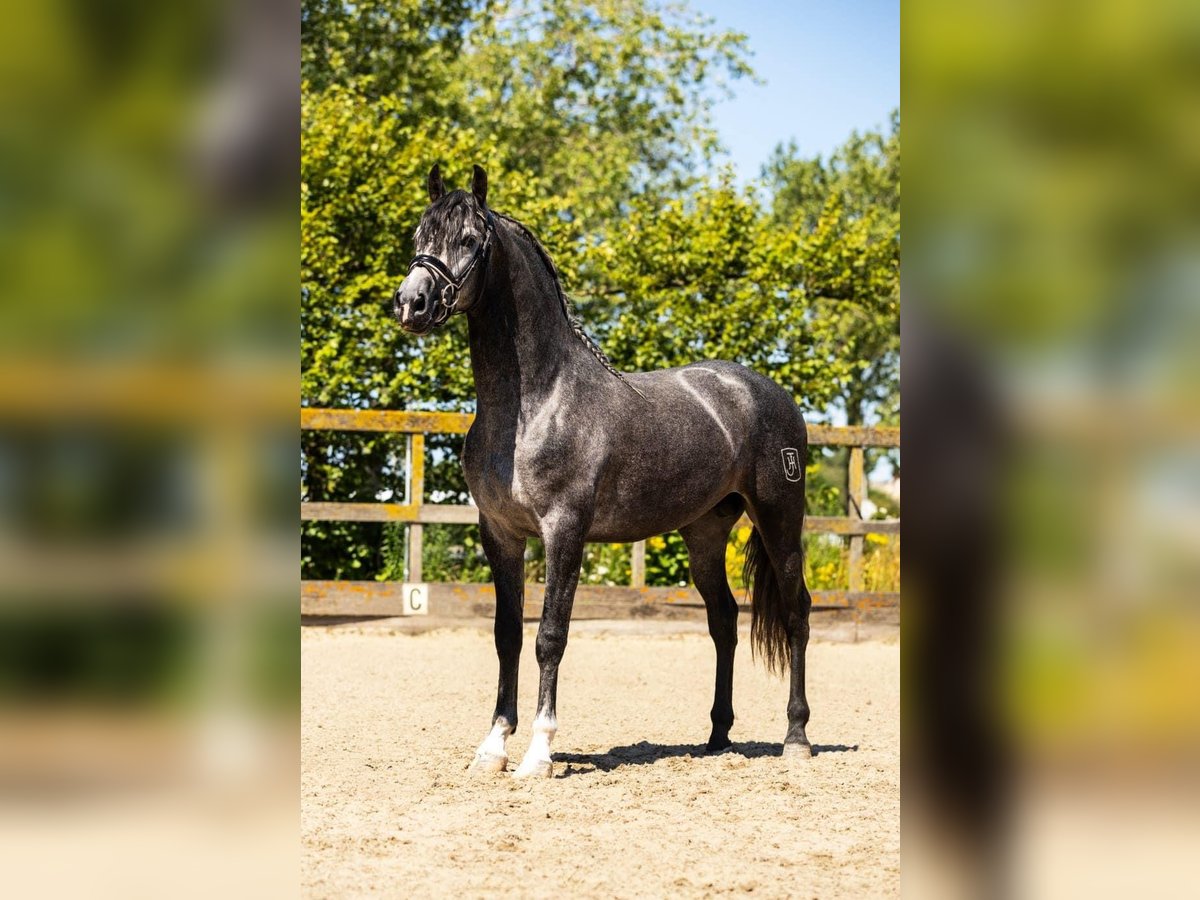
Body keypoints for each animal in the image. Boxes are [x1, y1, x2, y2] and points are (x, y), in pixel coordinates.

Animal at [393, 165, 816, 777]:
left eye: (469, 240)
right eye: (419, 237)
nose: (412, 304)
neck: (535, 402)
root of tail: (769, 394)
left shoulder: (564, 531)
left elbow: (550, 636)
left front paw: (539, 753)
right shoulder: (500, 534)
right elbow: (506, 635)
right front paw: (494, 746)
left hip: (780, 518)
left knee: (796, 612)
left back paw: (797, 737)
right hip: (705, 533)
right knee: (724, 620)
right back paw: (716, 736)